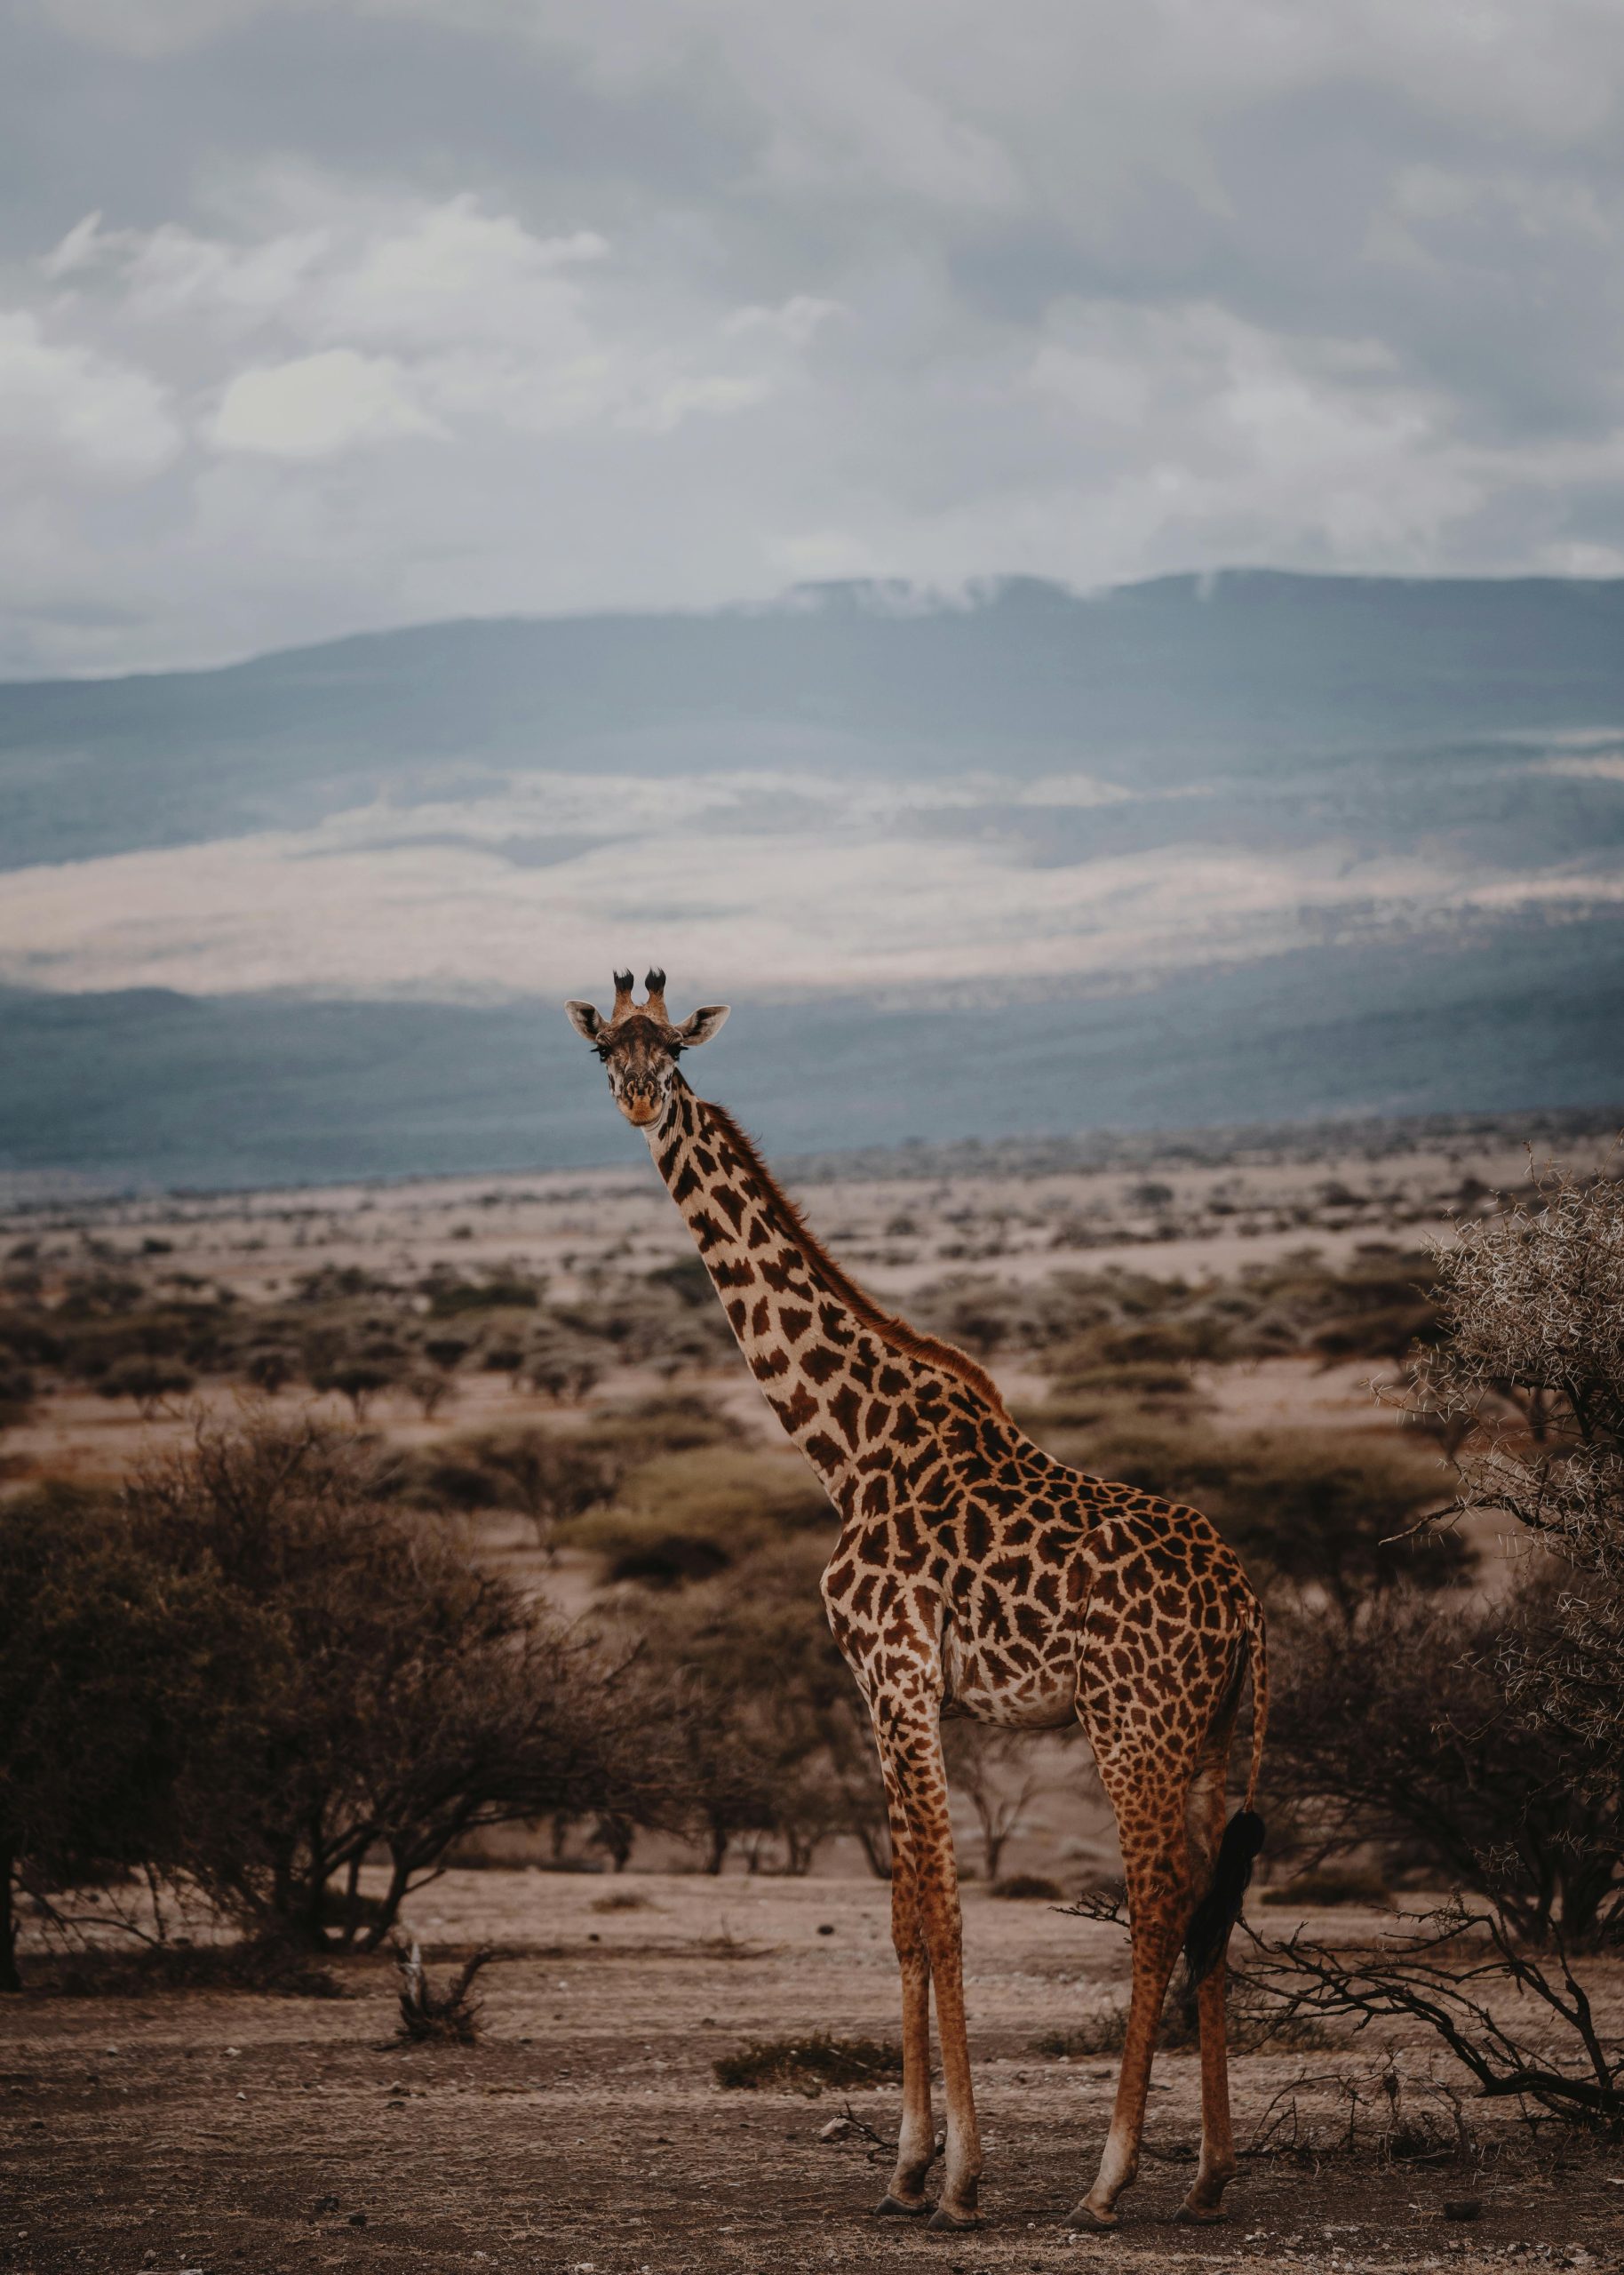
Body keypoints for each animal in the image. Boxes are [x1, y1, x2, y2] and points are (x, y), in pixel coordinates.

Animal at [566, 969, 1264, 2229]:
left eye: (674, 1051)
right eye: (607, 1051)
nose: (641, 1100)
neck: (842, 1446)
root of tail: (1243, 1601)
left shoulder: (893, 1672)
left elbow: (939, 1912)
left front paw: (956, 2176)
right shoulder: (883, 1690)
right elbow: (900, 1916)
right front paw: (905, 2166)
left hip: (1128, 1725)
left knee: (1154, 1905)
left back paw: (1108, 2179)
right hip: (1201, 1733)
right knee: (1206, 1906)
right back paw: (1206, 2177)